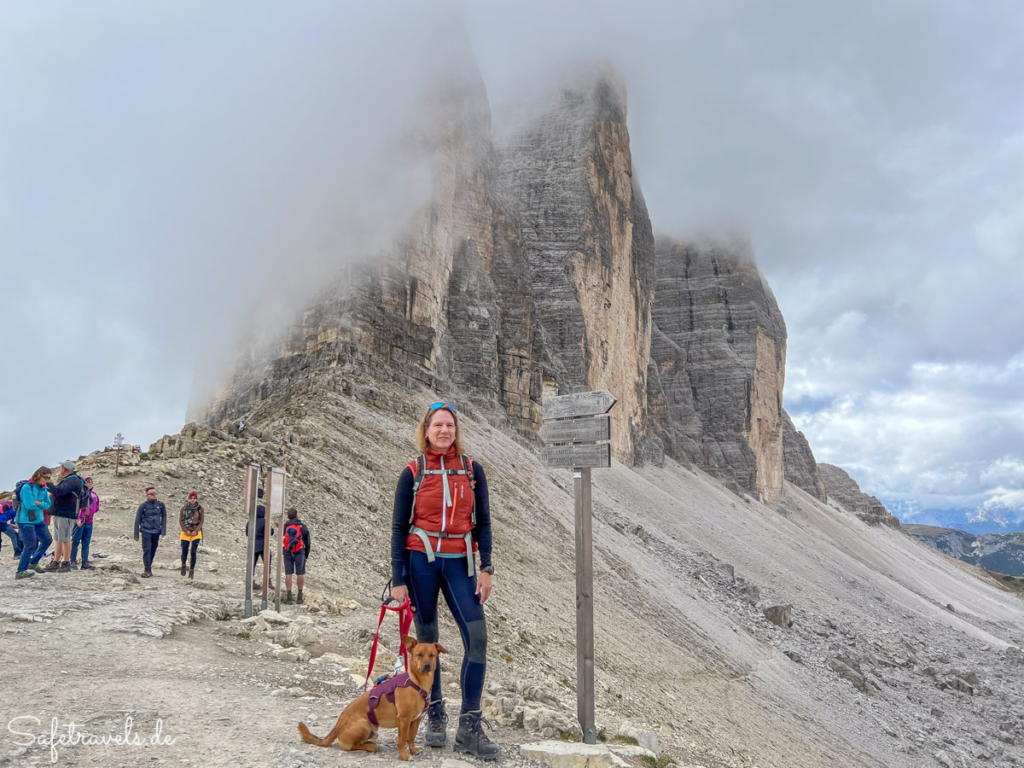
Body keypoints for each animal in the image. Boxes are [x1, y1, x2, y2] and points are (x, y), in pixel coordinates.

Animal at [294, 634, 442, 761]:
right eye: (419, 655)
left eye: (432, 655)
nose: (427, 666)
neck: (416, 682)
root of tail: (336, 727)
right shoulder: (404, 719)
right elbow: (402, 739)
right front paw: (404, 755)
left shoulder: (416, 720)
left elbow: (411, 737)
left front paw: (413, 750)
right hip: (363, 725)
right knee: (349, 746)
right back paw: (371, 746)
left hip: (373, 731)